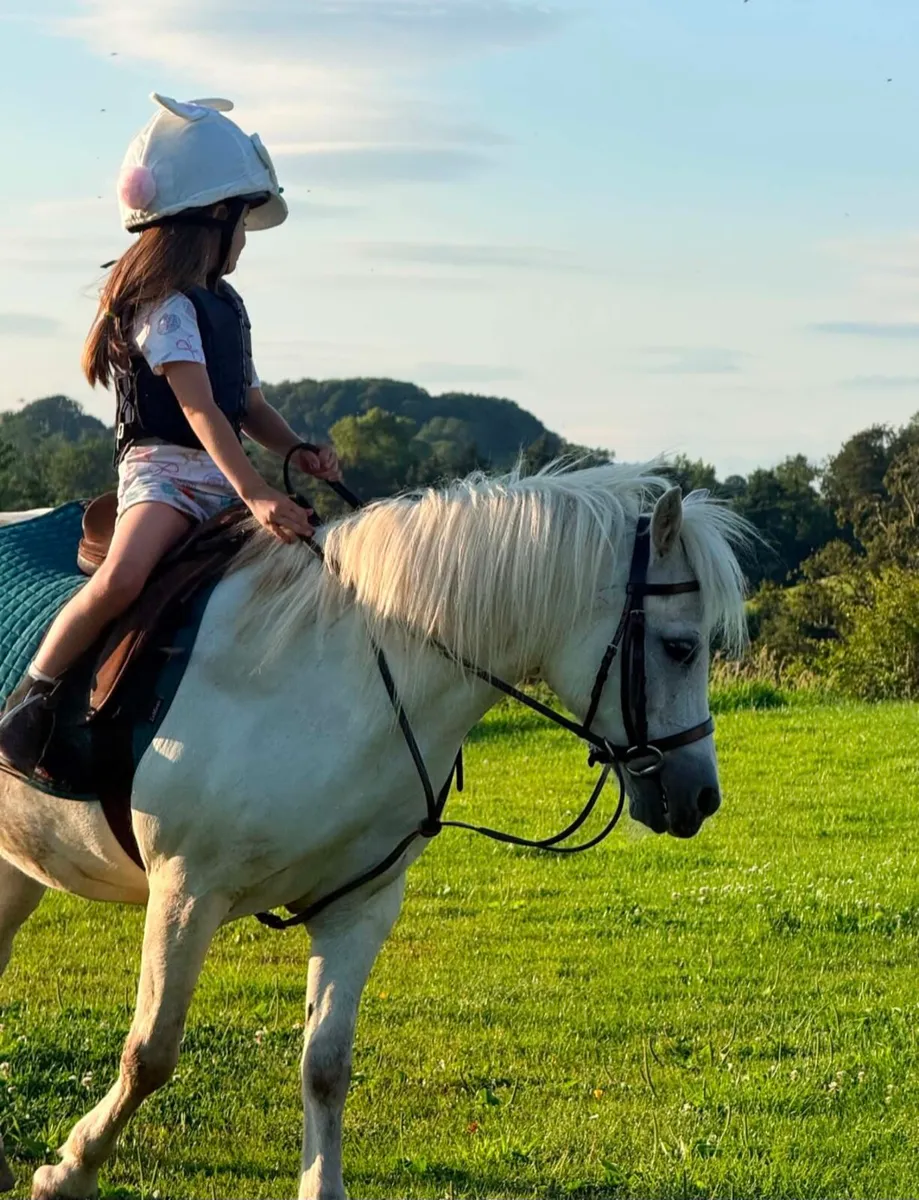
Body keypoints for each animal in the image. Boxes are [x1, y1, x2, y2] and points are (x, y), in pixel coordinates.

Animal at [0, 462, 748, 1200]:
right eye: (680, 647)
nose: (701, 796)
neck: (337, 679)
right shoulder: (186, 895)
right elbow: (150, 1053)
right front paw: (69, 1169)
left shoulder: (356, 907)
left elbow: (326, 1065)